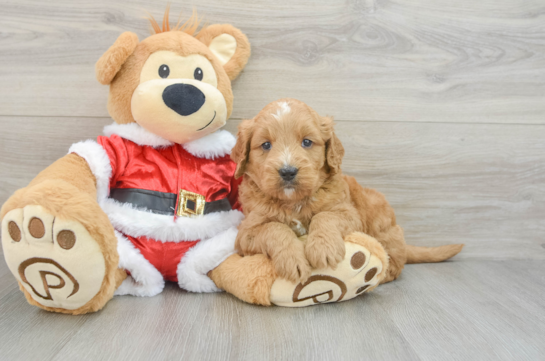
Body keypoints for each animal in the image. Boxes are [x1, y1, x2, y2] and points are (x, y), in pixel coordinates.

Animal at [231, 97, 464, 282]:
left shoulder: (349, 213)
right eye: (266, 145)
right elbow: (275, 228)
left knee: (396, 261)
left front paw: (323, 249)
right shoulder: (247, 231)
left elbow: (325, 216)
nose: (288, 171)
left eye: (307, 142)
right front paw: (292, 259)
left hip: (381, 224)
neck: (294, 201)